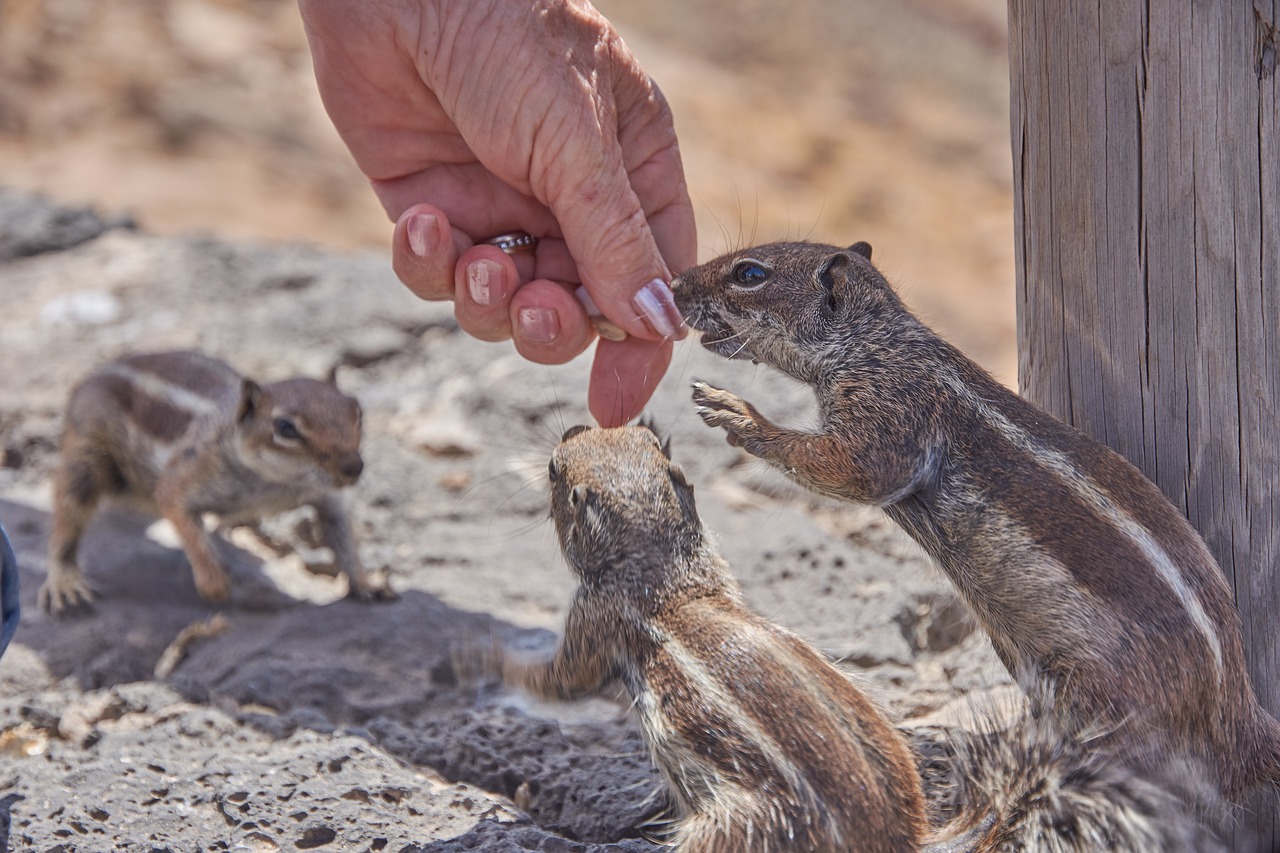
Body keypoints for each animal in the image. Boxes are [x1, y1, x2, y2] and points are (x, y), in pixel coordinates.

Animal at [40, 348, 389, 607]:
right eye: (285, 427)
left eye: (357, 411)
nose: (354, 467)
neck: (277, 484)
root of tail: (93, 374)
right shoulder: (182, 480)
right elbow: (186, 525)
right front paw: (215, 584)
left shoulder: (330, 499)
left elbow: (344, 539)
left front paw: (366, 584)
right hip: (86, 453)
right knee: (68, 514)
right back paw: (65, 581)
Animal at [481, 422, 1228, 850]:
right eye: (643, 433)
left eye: (556, 469)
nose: (574, 421)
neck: (668, 573)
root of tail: (902, 841)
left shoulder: (594, 618)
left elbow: (561, 678)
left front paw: (490, 661)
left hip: (738, 825)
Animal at [670, 239, 1280, 799]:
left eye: (750, 274)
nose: (675, 284)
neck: (879, 340)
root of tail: (1238, 718)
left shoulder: (889, 410)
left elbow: (853, 470)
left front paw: (739, 414)